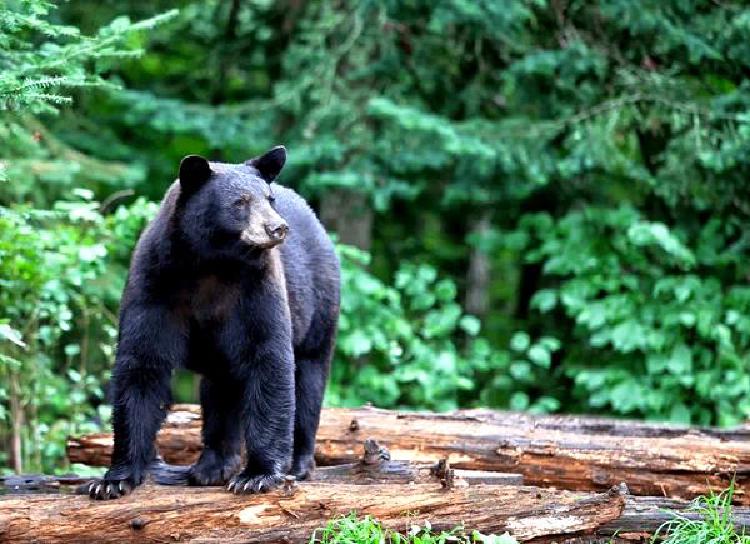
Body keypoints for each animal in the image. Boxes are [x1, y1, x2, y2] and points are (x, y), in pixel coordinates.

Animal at [87, 147, 340, 500]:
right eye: (240, 202)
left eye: (269, 198)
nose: (277, 228)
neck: (212, 264)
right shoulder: (155, 284)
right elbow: (141, 364)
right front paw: (113, 479)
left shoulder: (256, 290)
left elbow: (269, 360)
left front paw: (257, 475)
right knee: (220, 391)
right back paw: (211, 466)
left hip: (319, 306)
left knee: (309, 378)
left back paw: (298, 463)